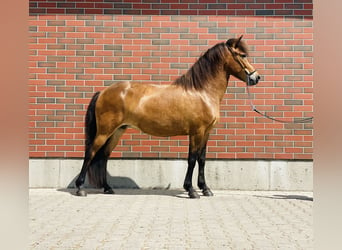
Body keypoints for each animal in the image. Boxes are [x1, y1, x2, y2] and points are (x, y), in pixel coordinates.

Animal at [76, 35, 260, 199]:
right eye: (242, 55)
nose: (256, 77)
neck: (201, 92)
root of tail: (103, 92)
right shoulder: (196, 132)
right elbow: (192, 159)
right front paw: (191, 190)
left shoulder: (207, 132)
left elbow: (202, 159)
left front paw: (205, 189)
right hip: (104, 132)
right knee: (91, 153)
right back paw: (80, 188)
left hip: (117, 131)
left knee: (104, 155)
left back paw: (107, 188)